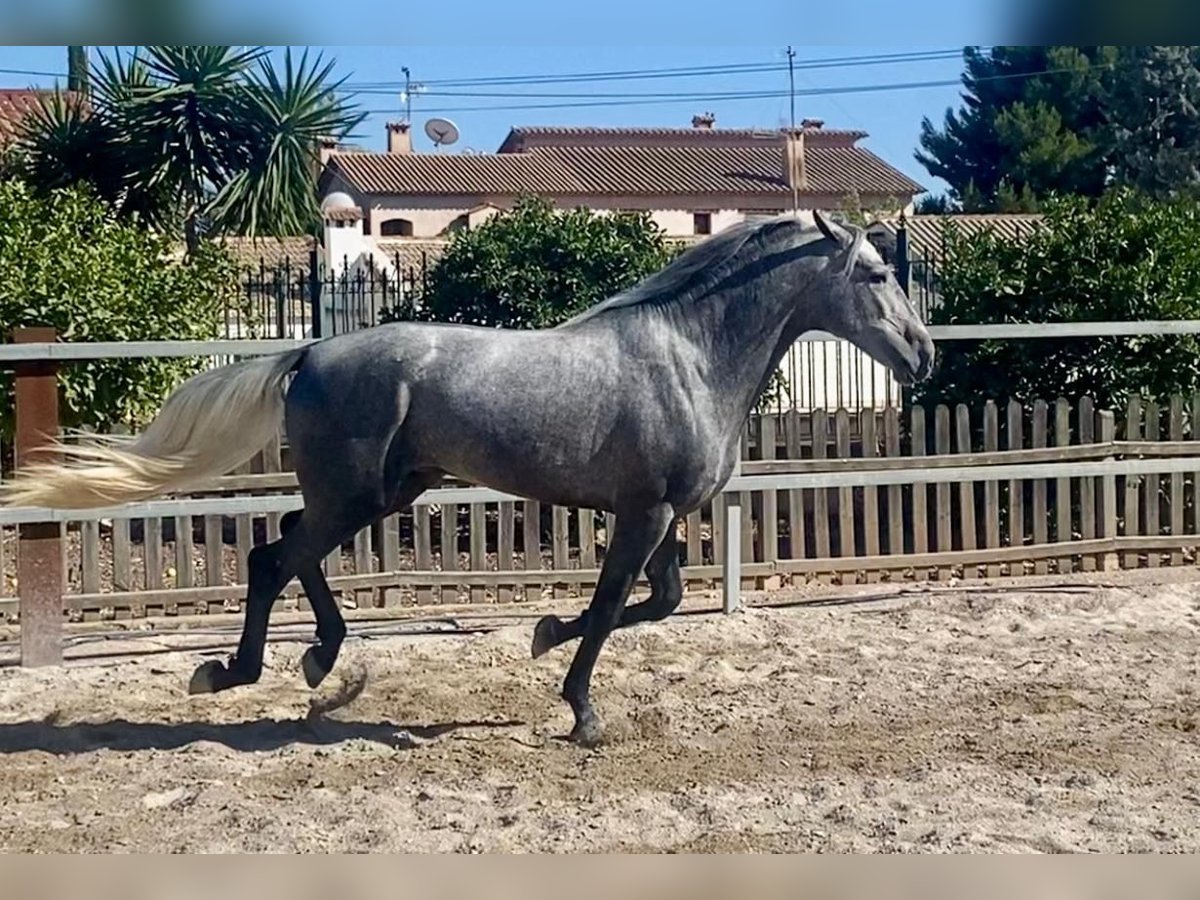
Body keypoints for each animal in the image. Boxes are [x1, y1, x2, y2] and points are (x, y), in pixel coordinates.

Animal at [2, 211, 936, 748]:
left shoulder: (665, 514)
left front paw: (545, 634)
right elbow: (611, 607)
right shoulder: (642, 512)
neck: (689, 354)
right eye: (875, 275)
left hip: (384, 492)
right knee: (275, 559)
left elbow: (658, 602)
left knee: (289, 555)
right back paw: (237, 671)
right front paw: (582, 712)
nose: (923, 352)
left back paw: (316, 662)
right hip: (356, 495)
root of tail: (308, 353)